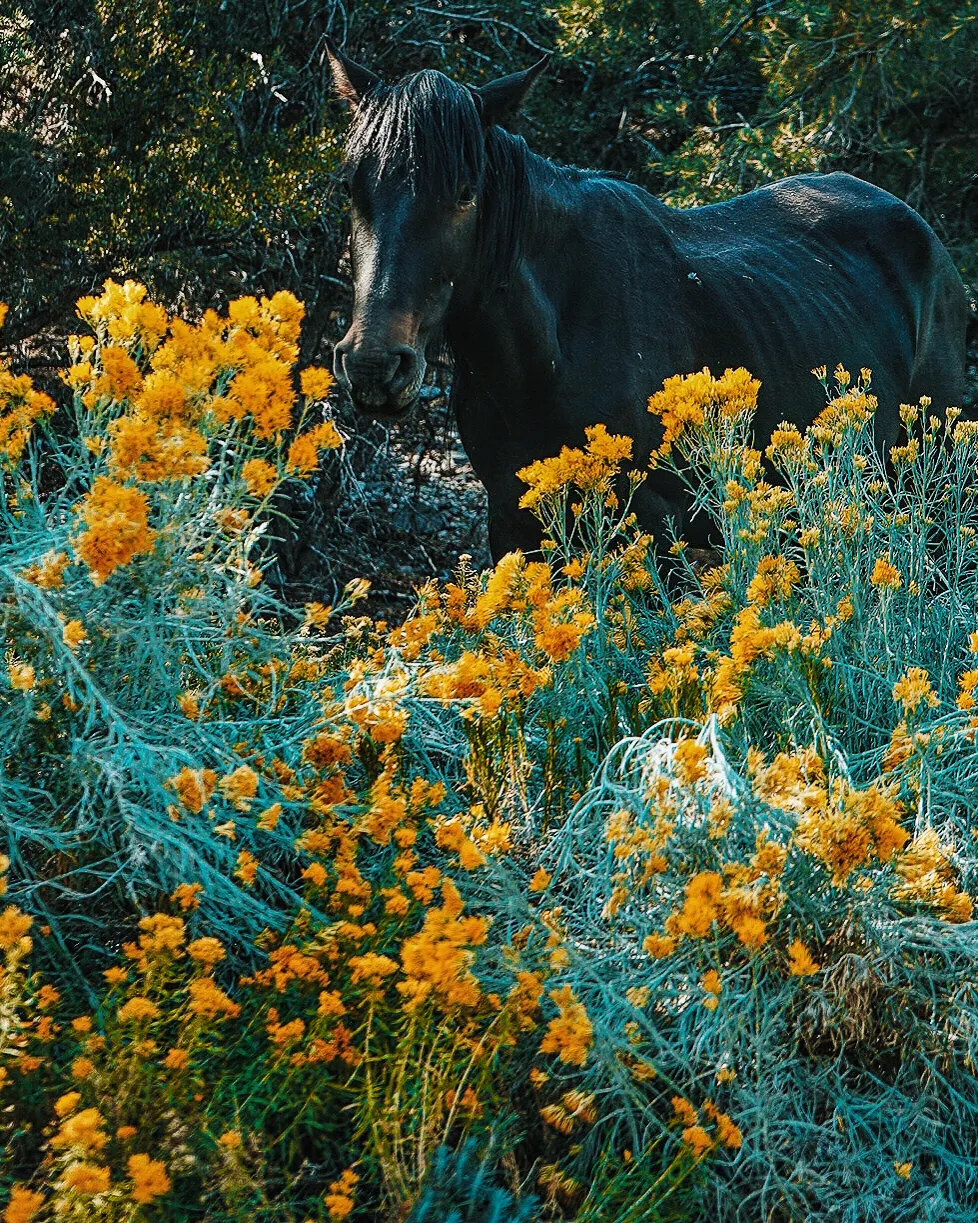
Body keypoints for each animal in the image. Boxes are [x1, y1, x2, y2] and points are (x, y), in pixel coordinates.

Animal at [325, 42, 971, 561]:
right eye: (352, 188)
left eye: (464, 194)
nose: (374, 366)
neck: (551, 350)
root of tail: (929, 240)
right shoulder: (512, 521)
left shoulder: (661, 525)